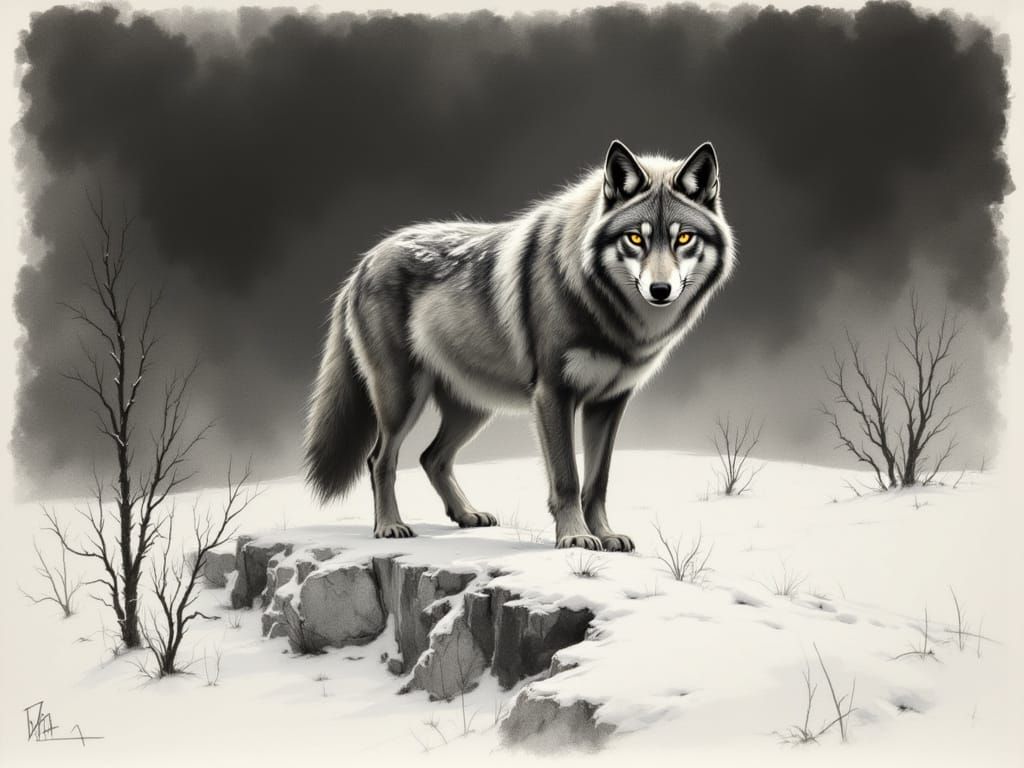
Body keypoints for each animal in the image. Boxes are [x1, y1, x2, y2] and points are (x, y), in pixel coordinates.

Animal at [305, 140, 735, 551]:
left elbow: (597, 482)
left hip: (474, 408)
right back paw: (390, 526)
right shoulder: (553, 395)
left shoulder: (608, 404)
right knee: (380, 459)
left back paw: (466, 514)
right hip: (402, 400)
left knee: (432, 457)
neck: (612, 315)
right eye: (634, 239)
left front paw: (605, 535)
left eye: (684, 238)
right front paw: (575, 537)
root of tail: (364, 261)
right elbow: (567, 478)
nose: (660, 290)